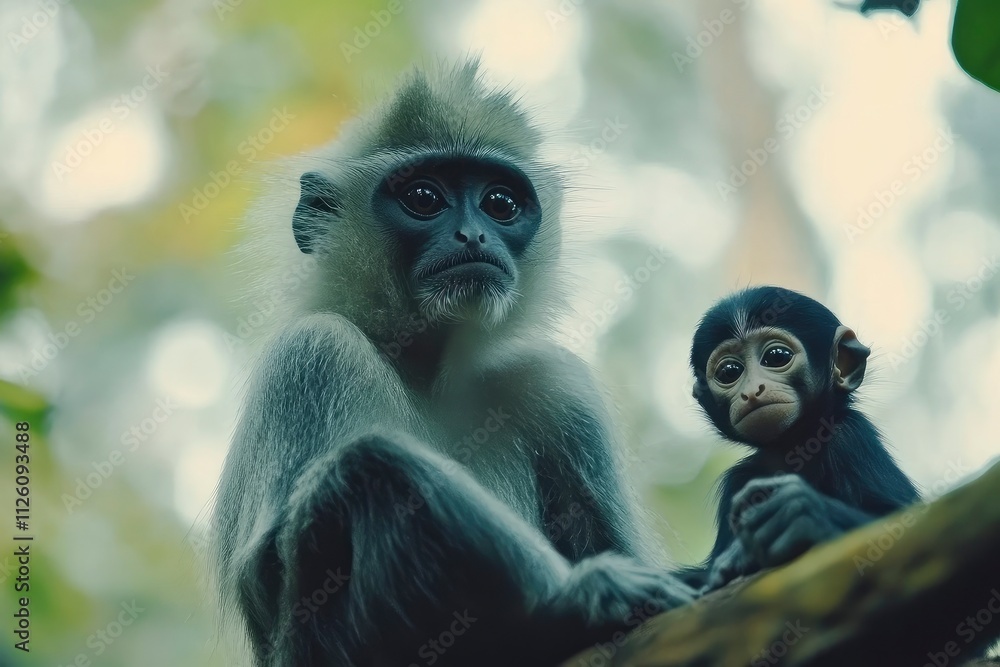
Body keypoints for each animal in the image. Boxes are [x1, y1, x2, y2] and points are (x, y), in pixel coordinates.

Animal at [213, 62, 693, 667]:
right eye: (424, 197)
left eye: (500, 205)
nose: (474, 234)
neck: (426, 370)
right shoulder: (317, 348)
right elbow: (270, 566)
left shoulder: (554, 382)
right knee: (369, 462)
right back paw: (564, 606)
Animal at [679, 286, 919, 591]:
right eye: (729, 372)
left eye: (776, 356)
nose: (751, 391)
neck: (794, 446)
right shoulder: (737, 480)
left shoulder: (851, 437)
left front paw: (801, 512)